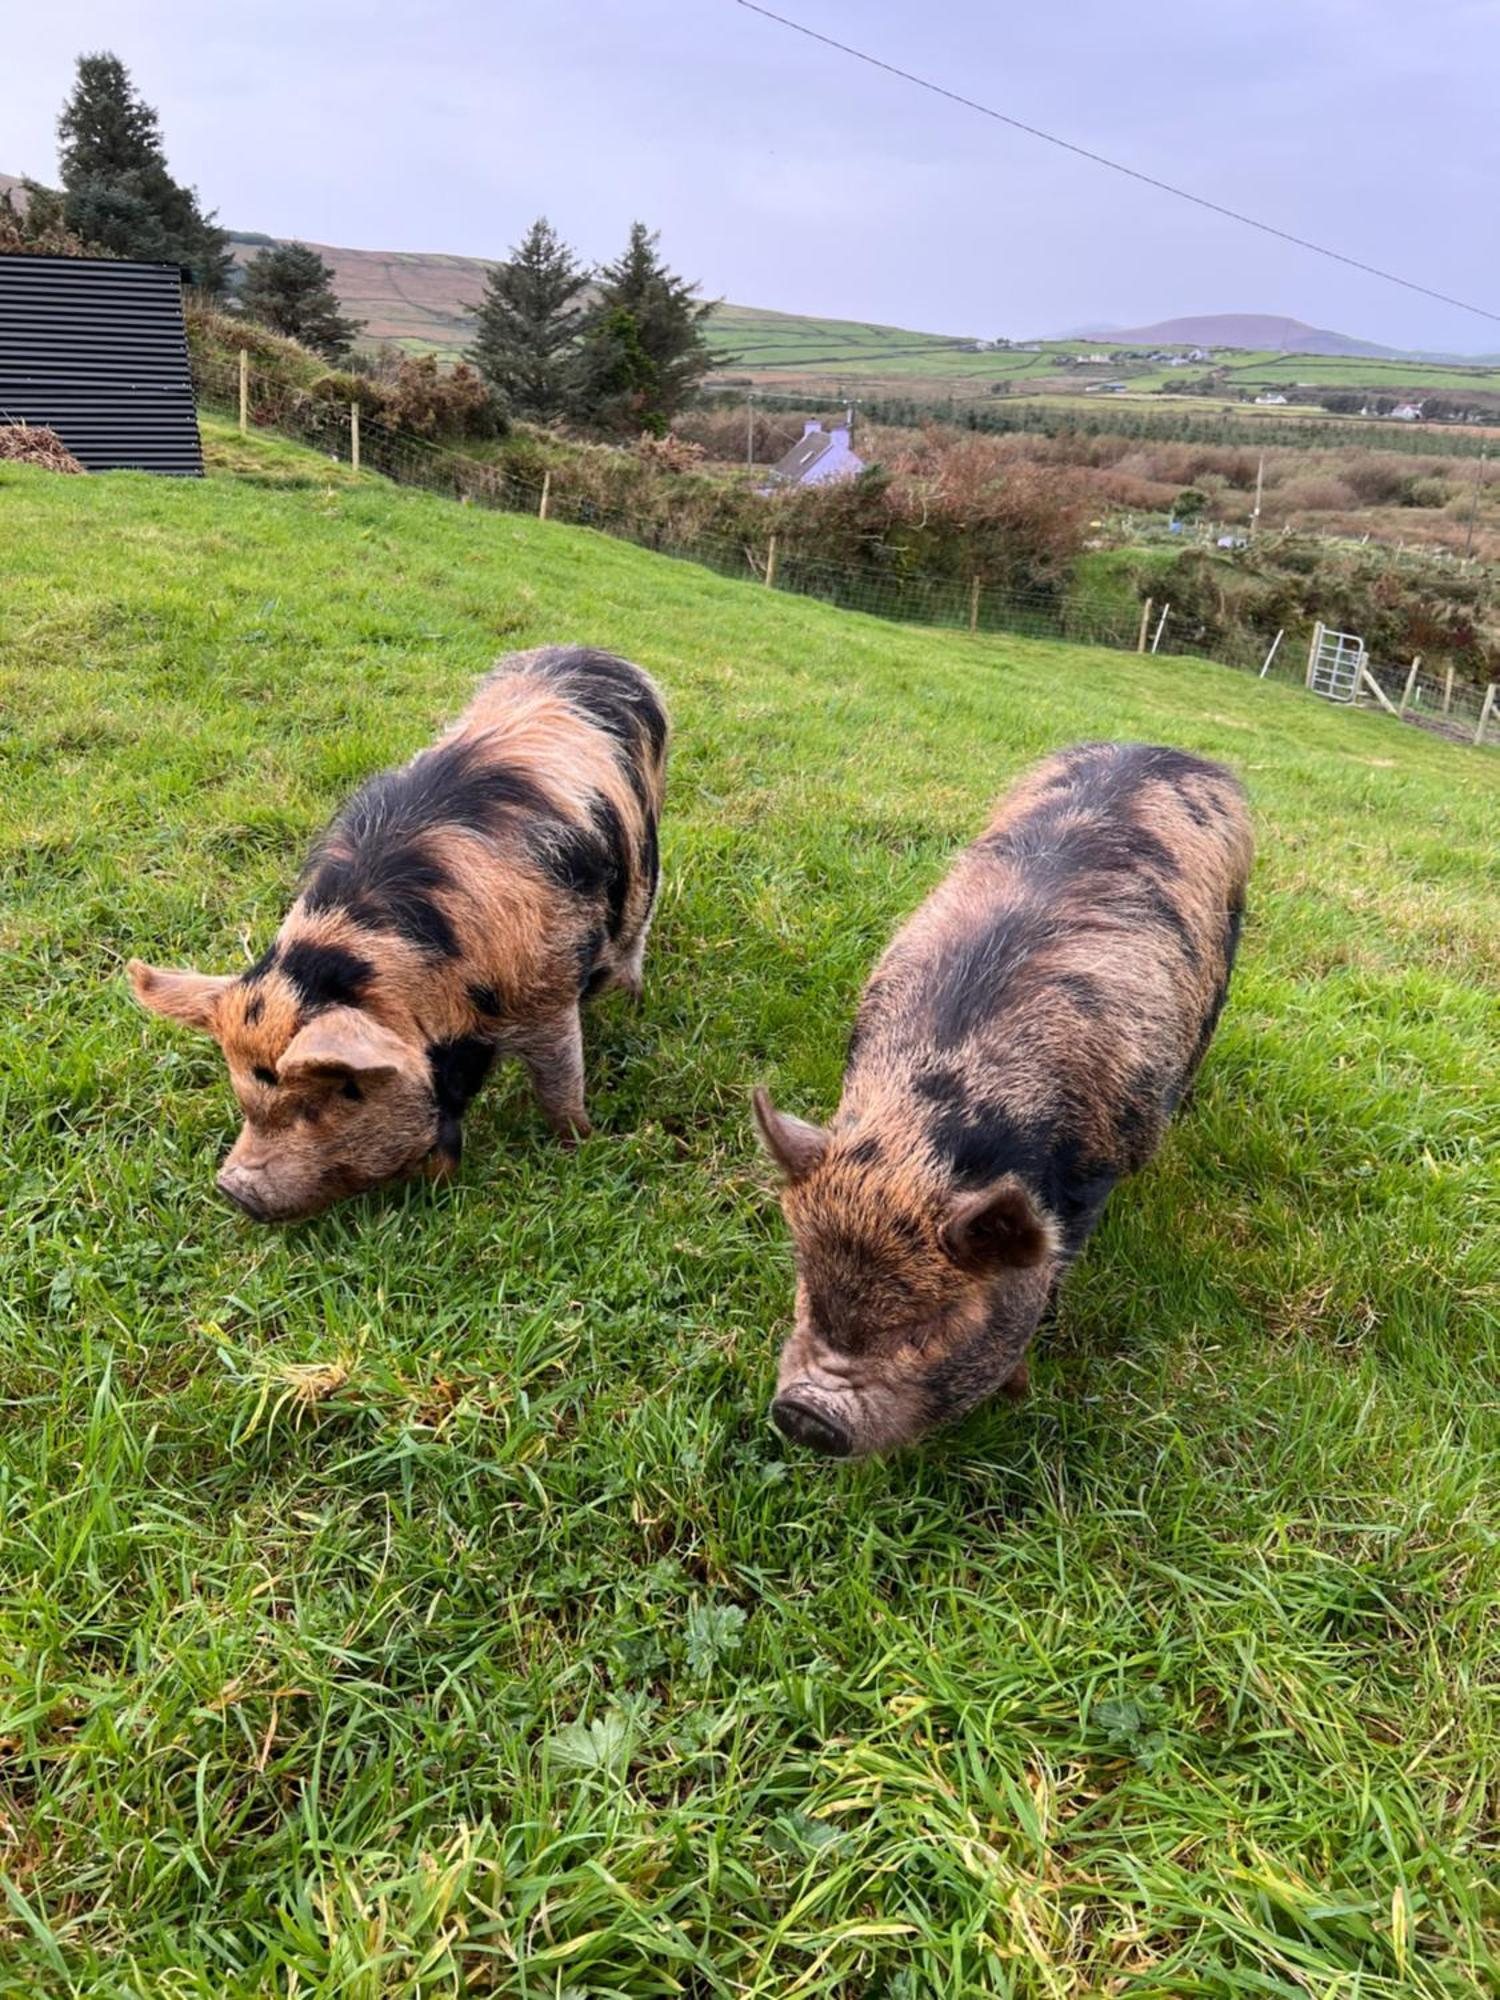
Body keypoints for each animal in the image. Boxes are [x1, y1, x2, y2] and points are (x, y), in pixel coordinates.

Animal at [129, 648, 668, 1224]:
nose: (232, 1188)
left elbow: (559, 1084)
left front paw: (581, 1144)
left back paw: (633, 1000)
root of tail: (590, 653)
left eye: (341, 1091)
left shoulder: (548, 993)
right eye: (242, 1097)